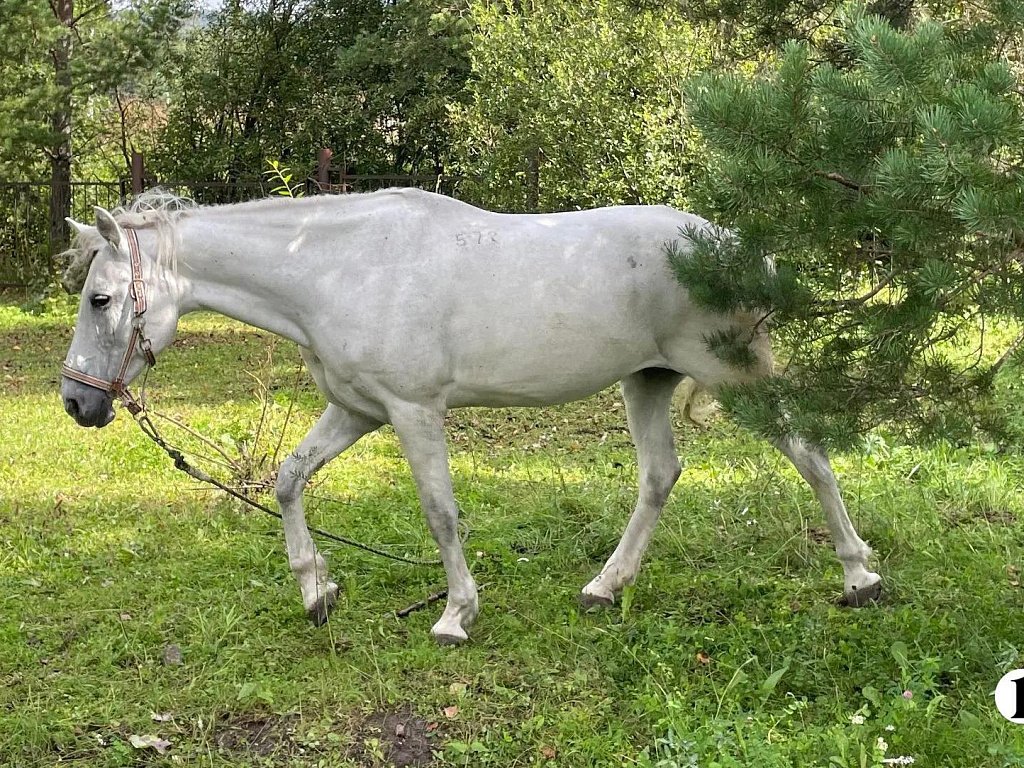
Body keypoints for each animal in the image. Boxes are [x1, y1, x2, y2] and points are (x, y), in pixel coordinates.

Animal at [59, 189, 881, 644]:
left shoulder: (413, 412)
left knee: (810, 453)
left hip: (737, 377)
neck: (339, 267)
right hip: (646, 382)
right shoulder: (357, 410)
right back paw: (605, 587)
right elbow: (289, 481)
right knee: (659, 476)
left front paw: (456, 616)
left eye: (101, 297)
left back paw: (860, 576)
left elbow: (440, 512)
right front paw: (317, 592)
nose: (77, 401)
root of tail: (739, 250)